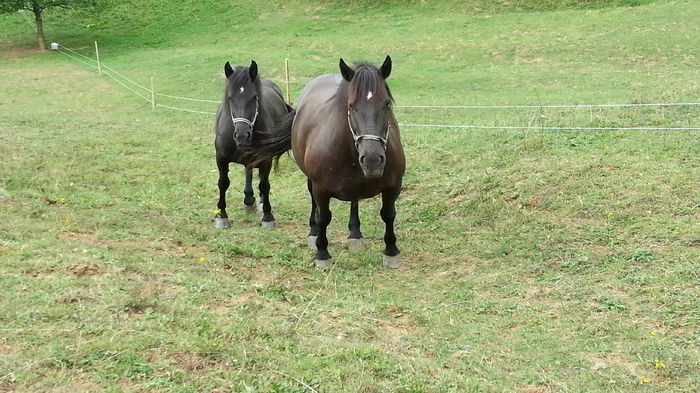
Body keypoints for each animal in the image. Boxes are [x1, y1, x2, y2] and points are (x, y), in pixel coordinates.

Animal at [212, 59, 292, 228]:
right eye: (230, 98)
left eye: (254, 97)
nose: (242, 135)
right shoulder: (221, 158)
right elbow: (223, 183)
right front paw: (221, 215)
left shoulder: (265, 159)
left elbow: (264, 184)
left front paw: (268, 216)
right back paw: (248, 199)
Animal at [249, 56, 408, 268]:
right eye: (351, 106)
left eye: (386, 104)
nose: (373, 160)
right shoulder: (321, 189)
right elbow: (323, 217)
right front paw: (322, 253)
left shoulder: (393, 186)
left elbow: (388, 214)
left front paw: (391, 251)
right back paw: (313, 233)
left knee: (354, 202)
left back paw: (355, 234)